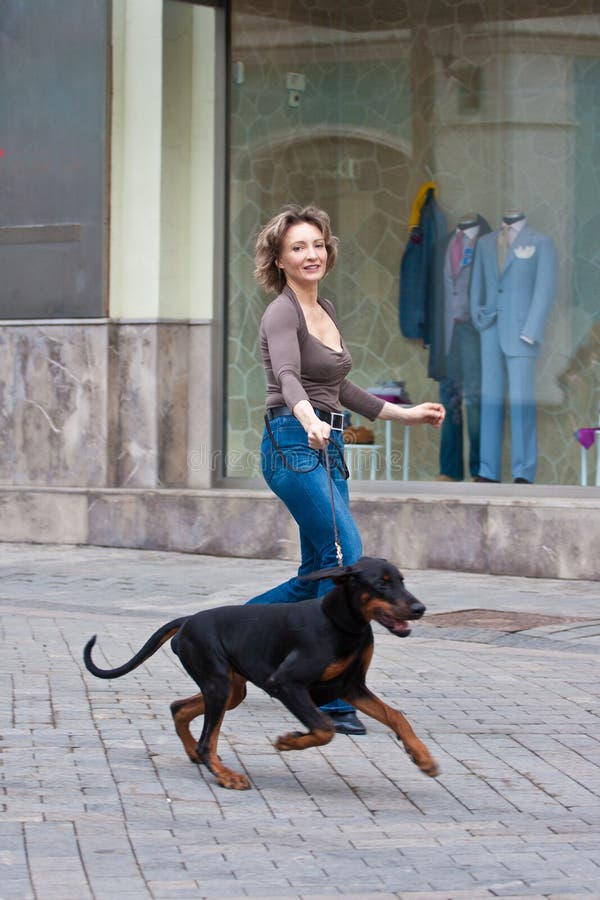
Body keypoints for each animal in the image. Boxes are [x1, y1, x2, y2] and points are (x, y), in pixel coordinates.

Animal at [83, 556, 436, 788]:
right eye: (381, 584)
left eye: (402, 580)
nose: (420, 609)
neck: (341, 624)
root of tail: (187, 620)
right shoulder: (286, 683)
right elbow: (324, 728)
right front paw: (289, 741)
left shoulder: (351, 687)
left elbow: (396, 716)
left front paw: (423, 758)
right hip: (218, 684)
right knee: (206, 739)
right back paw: (225, 775)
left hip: (230, 689)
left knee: (179, 709)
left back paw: (200, 757)